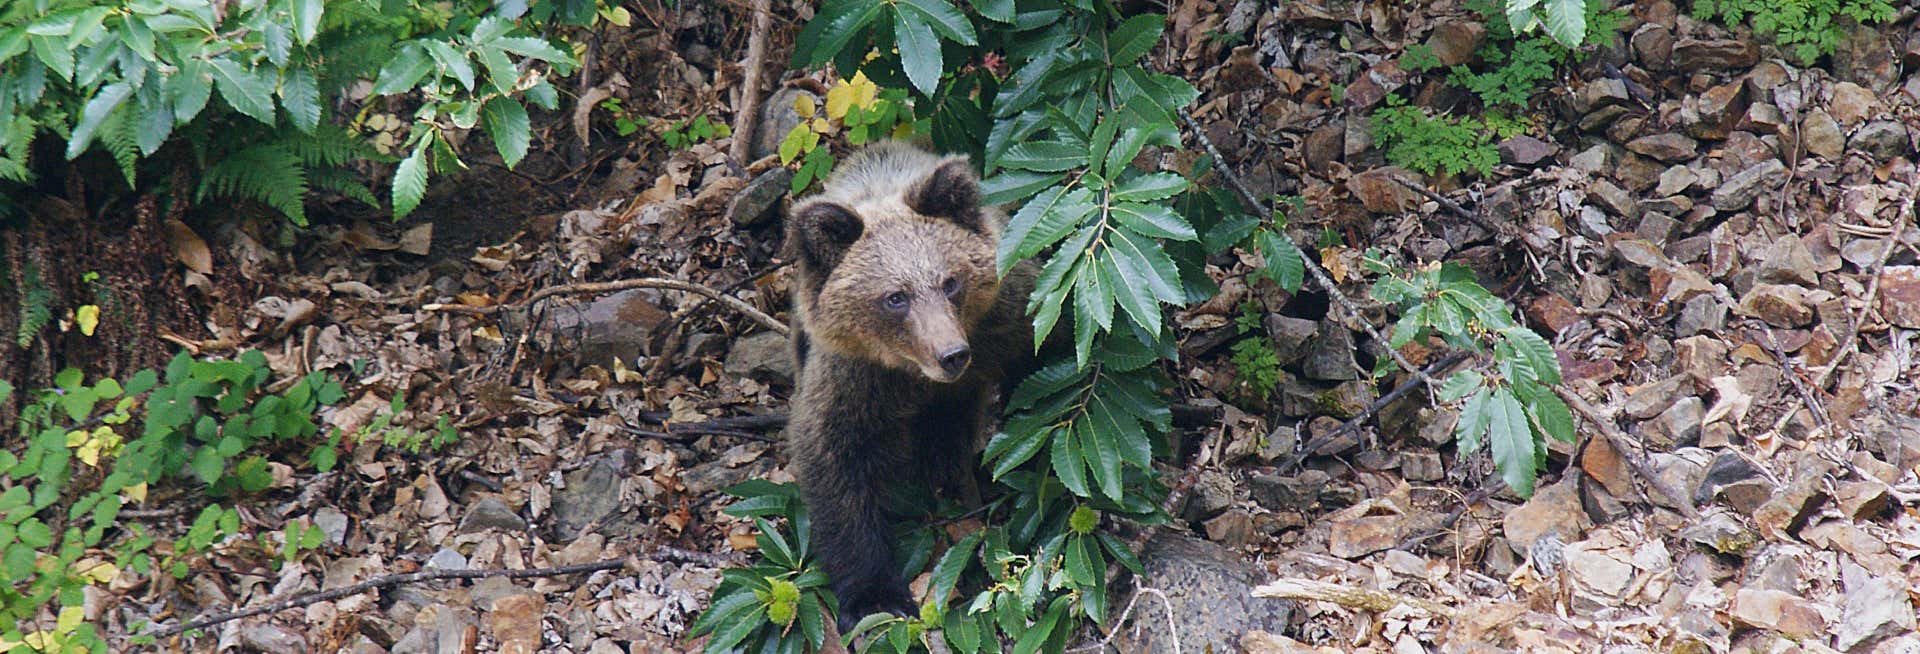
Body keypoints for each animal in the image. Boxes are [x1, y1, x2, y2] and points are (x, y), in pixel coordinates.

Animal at [783, 140, 1036, 625]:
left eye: (951, 281)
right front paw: (875, 596)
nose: (952, 354)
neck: (914, 375)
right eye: (895, 297)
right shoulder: (852, 377)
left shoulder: (1005, 319)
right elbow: (834, 458)